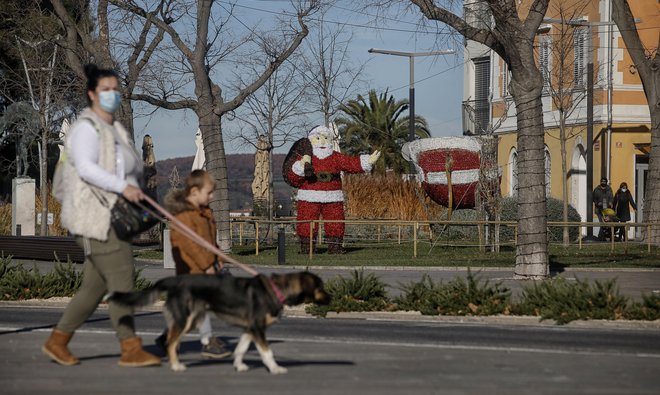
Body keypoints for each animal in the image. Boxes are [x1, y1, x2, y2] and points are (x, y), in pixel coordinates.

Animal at [105, 272, 330, 374]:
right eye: (320, 287)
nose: (330, 299)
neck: (275, 290)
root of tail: (174, 280)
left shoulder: (249, 329)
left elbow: (240, 349)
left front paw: (239, 365)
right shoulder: (258, 328)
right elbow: (268, 353)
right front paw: (275, 369)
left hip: (192, 319)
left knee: (171, 340)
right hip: (185, 319)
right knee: (170, 342)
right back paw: (176, 366)